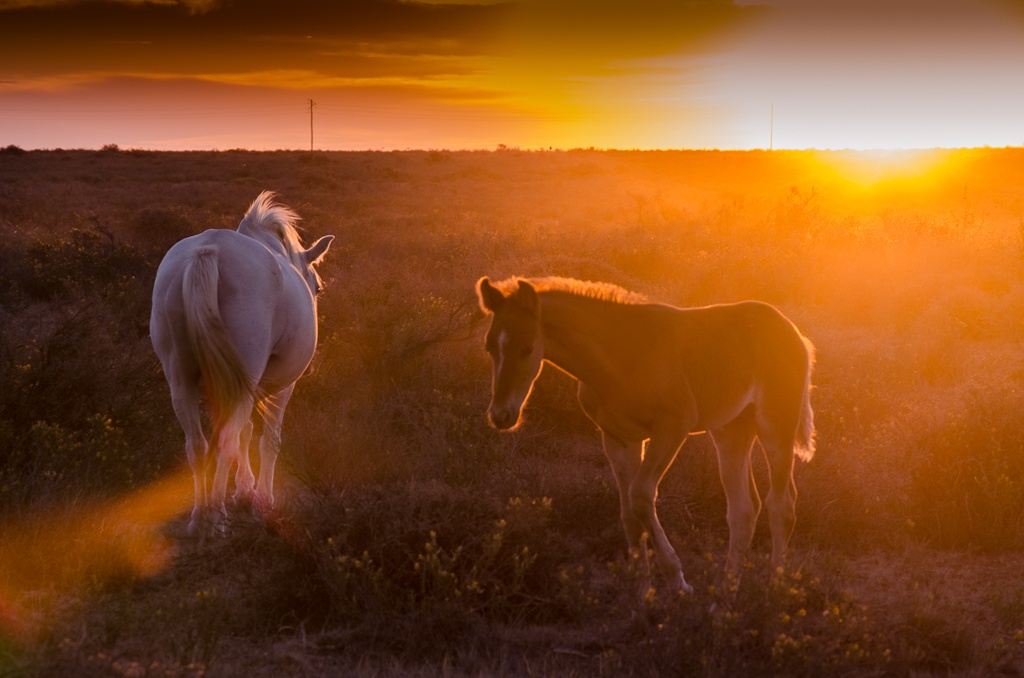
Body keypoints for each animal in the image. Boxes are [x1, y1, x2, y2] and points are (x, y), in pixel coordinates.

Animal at [150, 192, 331, 536]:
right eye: (316, 287)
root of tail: (208, 251)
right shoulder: (283, 388)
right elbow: (268, 441)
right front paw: (263, 497)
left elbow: (246, 432)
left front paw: (243, 489)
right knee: (226, 440)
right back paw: (217, 517)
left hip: (181, 379)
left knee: (198, 444)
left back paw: (200, 516)